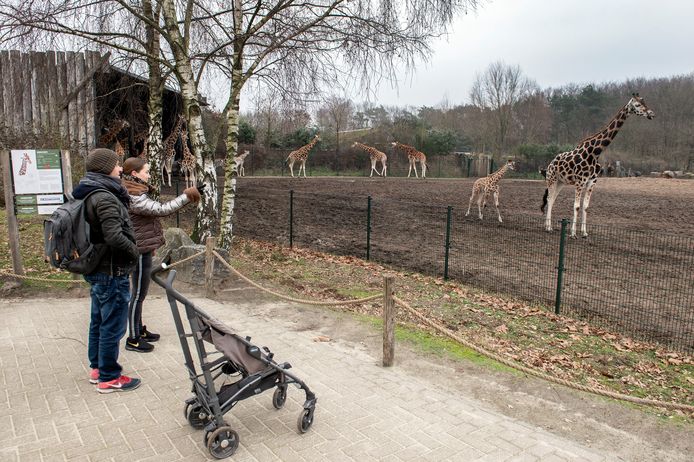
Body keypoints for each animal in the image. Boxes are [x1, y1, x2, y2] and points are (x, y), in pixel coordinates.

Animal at [544, 94, 656, 238]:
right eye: (637, 105)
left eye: (644, 102)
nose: (651, 114)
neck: (595, 152)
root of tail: (551, 163)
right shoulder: (580, 181)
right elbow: (576, 206)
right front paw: (573, 233)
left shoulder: (592, 181)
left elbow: (585, 206)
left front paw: (584, 232)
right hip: (551, 179)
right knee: (549, 198)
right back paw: (548, 227)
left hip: (561, 182)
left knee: (552, 199)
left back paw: (549, 226)